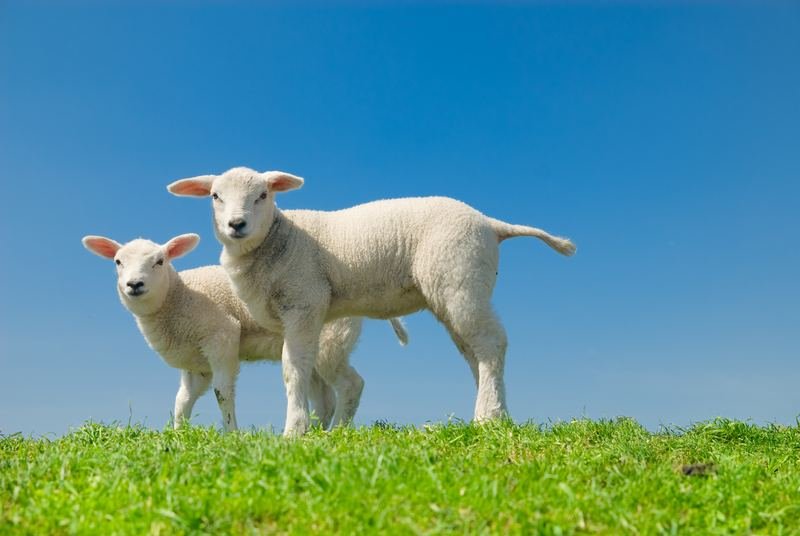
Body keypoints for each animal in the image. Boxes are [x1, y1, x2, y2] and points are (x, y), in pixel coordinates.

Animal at [82, 233, 408, 432]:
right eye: (118, 262)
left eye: (160, 261)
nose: (134, 285)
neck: (178, 297)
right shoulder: (196, 363)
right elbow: (182, 400)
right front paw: (178, 435)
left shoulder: (221, 336)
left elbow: (222, 393)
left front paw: (232, 434)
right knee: (323, 397)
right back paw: (313, 431)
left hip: (331, 341)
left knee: (351, 385)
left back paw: (335, 432)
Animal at [168, 167, 575, 436]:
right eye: (215, 196)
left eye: (264, 195)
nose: (236, 224)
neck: (279, 238)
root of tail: (492, 224)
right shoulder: (294, 317)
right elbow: (306, 371)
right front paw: (312, 431)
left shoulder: (303, 302)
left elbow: (292, 369)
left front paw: (294, 432)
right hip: (456, 289)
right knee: (475, 351)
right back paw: (495, 413)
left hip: (459, 278)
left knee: (492, 344)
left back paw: (487, 416)